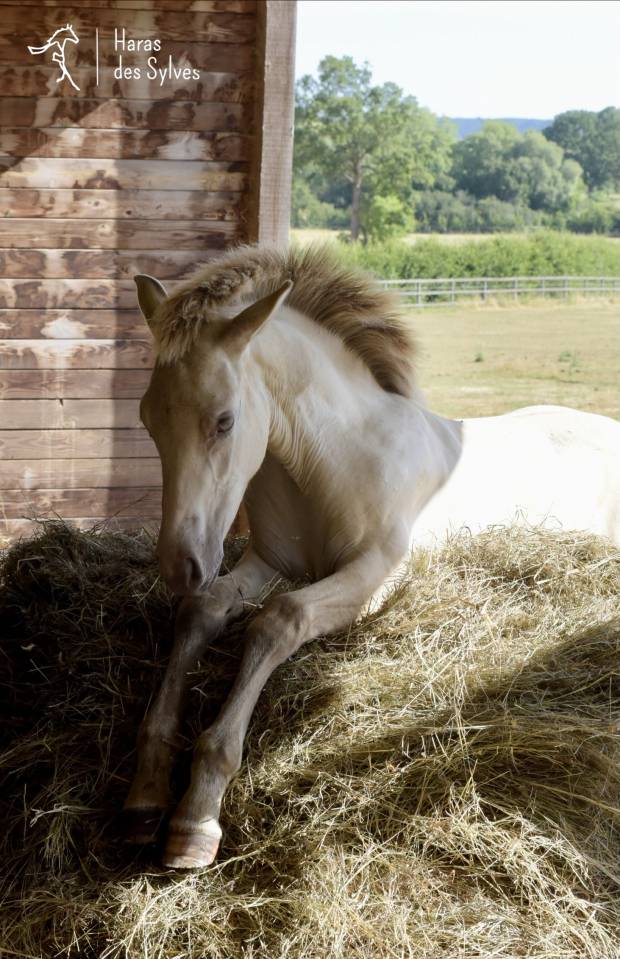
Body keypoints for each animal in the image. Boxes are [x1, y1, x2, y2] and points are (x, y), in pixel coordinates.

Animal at [123, 244, 620, 869]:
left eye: (224, 420)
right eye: (146, 418)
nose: (179, 566)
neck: (332, 462)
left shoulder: (374, 575)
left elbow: (279, 620)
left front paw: (196, 815)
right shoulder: (271, 565)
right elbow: (202, 610)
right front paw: (146, 792)